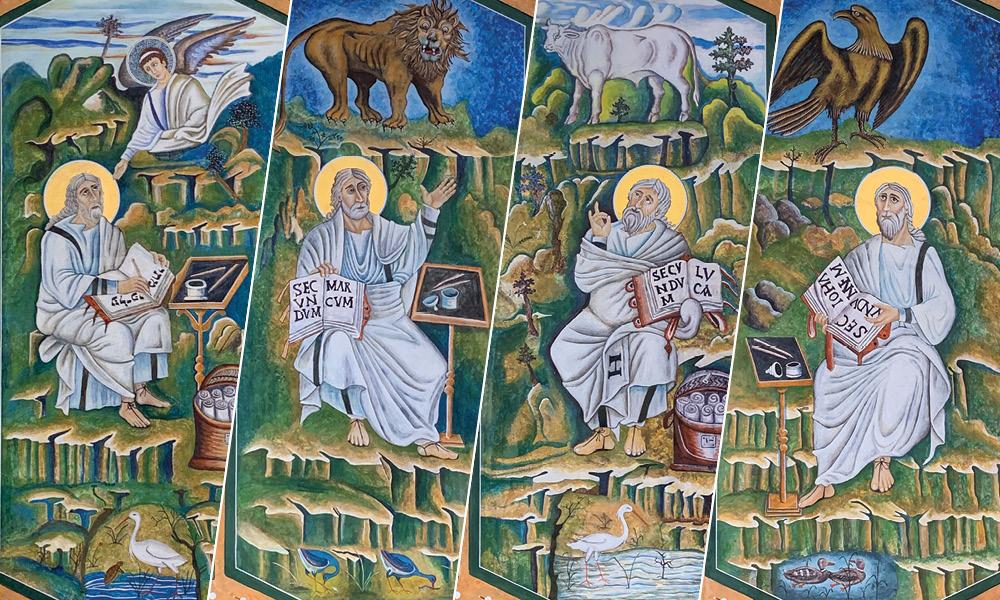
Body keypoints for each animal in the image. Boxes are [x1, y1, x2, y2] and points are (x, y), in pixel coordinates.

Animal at [276, 0, 470, 134]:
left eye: (445, 30)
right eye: (424, 26)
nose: (432, 38)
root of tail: (321, 26)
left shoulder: (428, 77)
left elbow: (433, 98)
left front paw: (443, 119)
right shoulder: (395, 76)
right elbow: (399, 99)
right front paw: (395, 124)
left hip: (363, 72)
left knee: (361, 94)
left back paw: (370, 118)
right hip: (331, 58)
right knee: (340, 86)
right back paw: (337, 117)